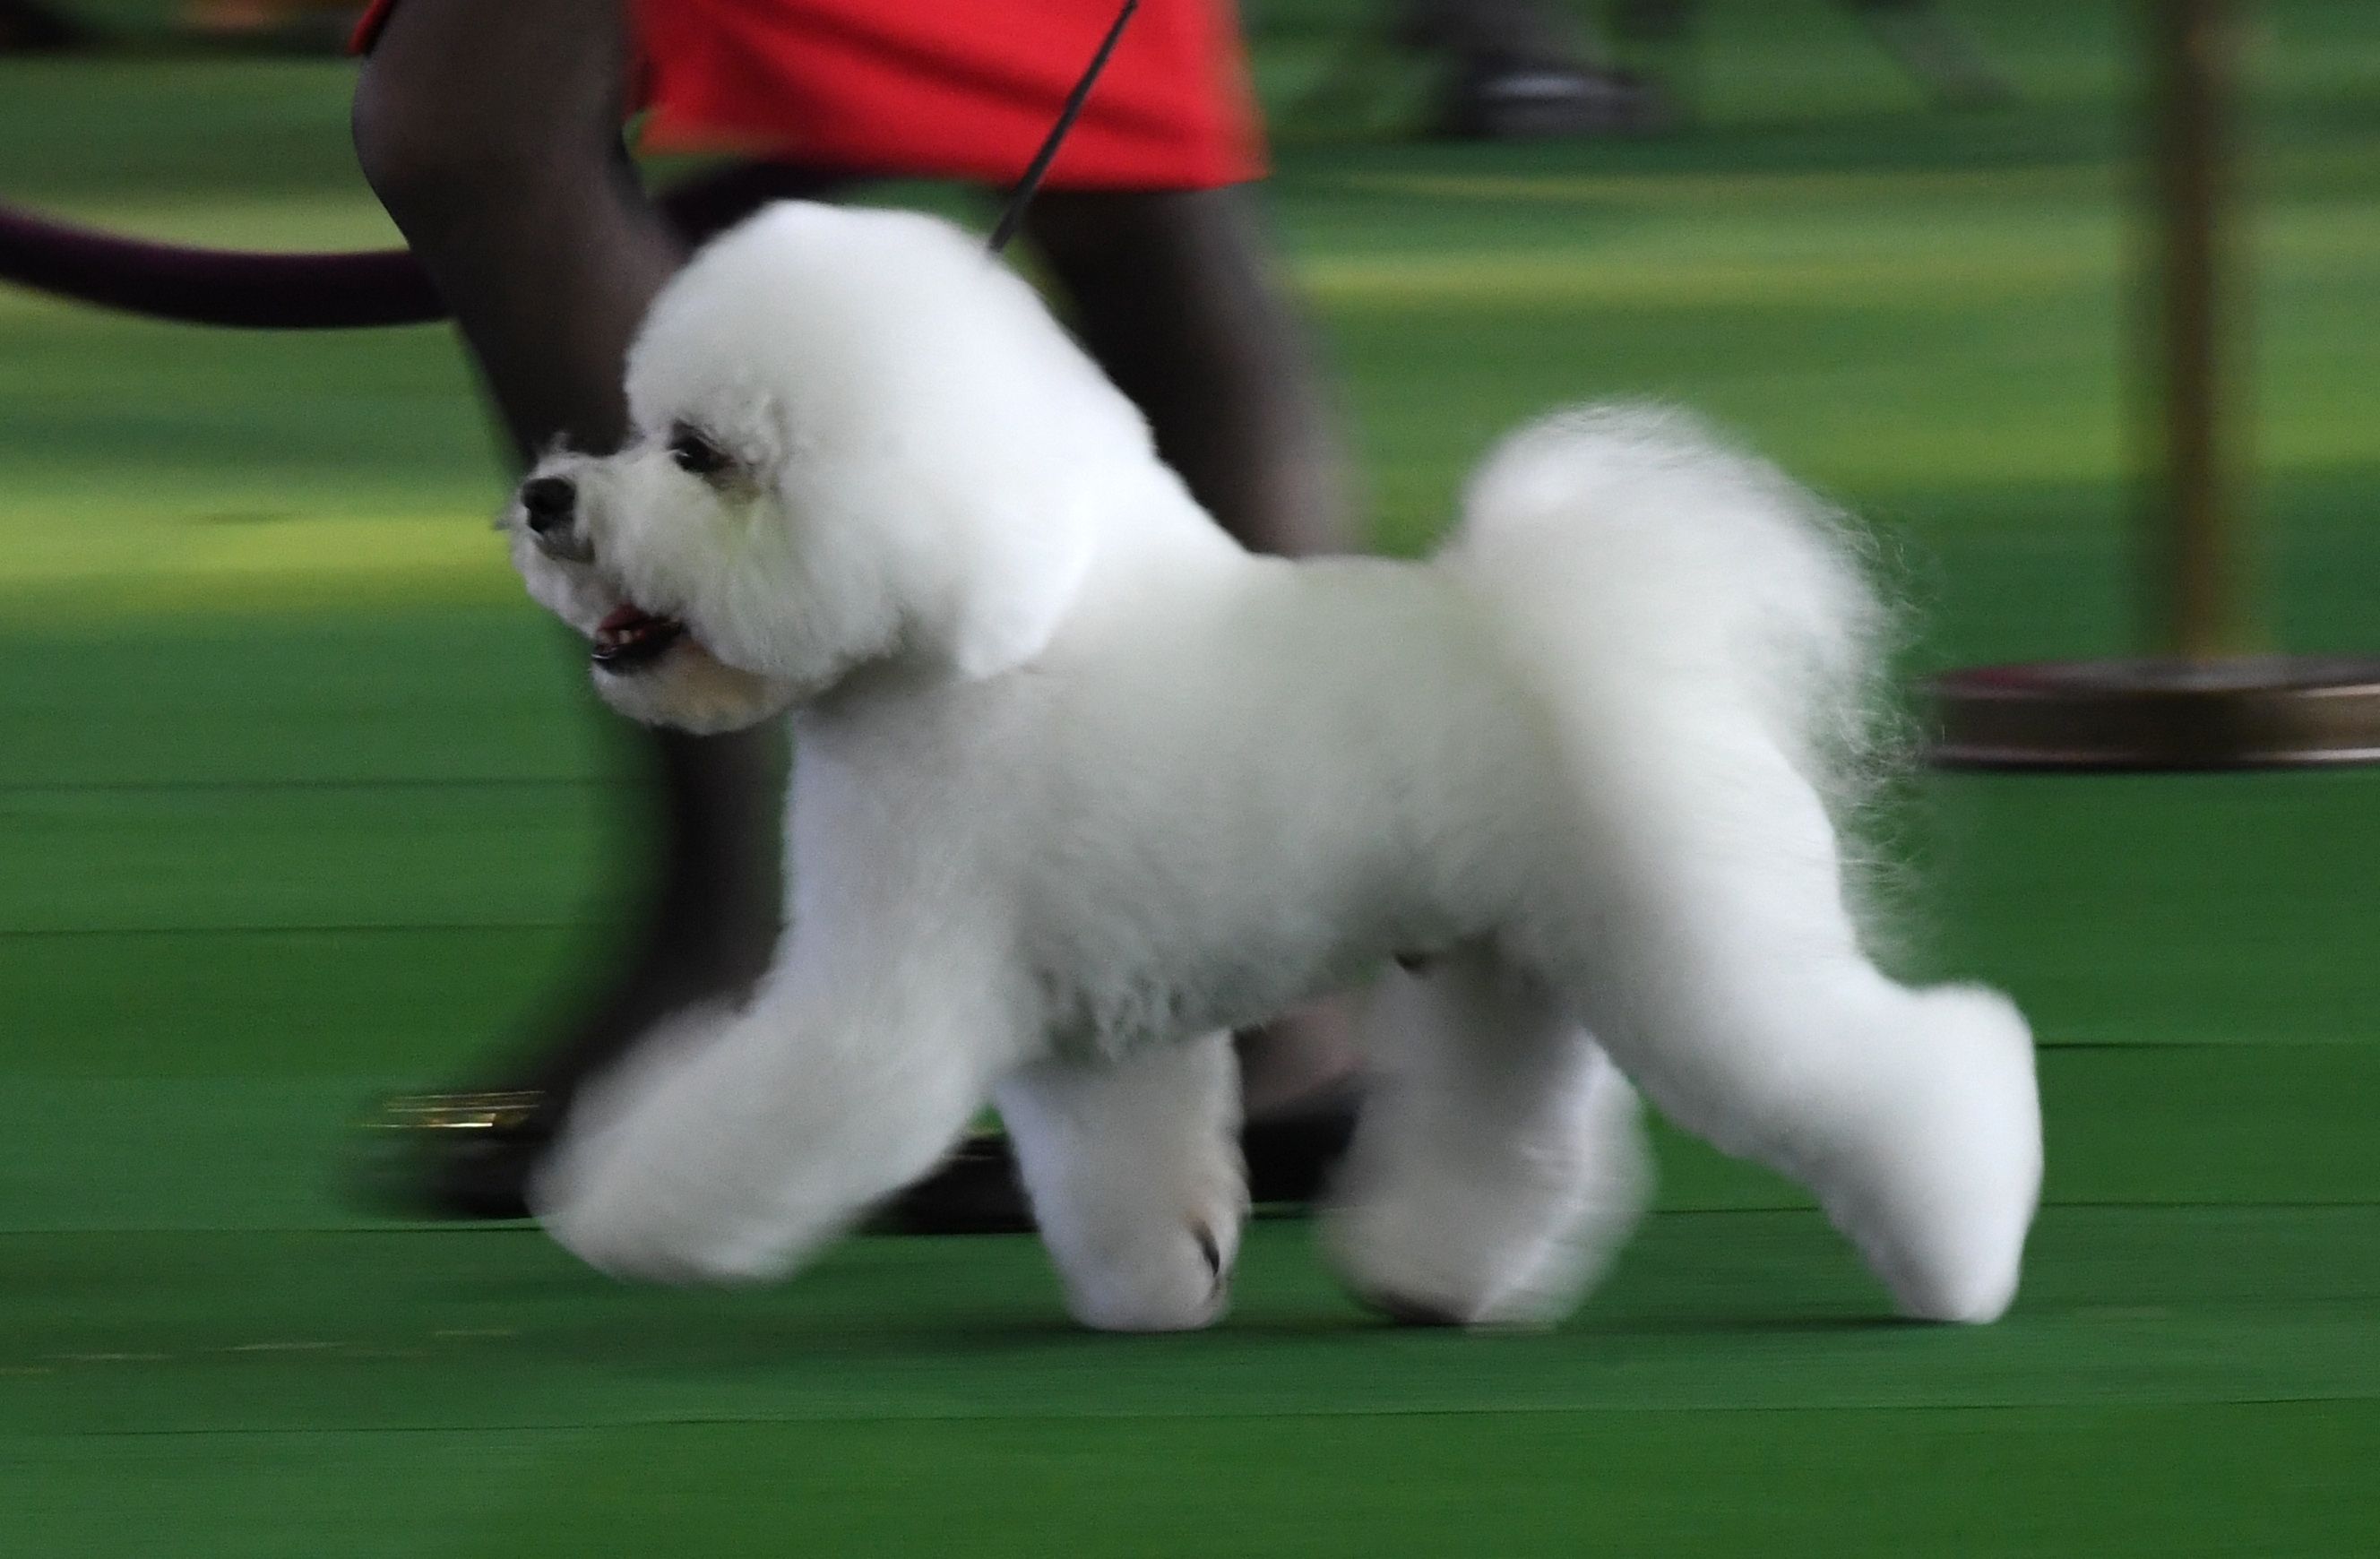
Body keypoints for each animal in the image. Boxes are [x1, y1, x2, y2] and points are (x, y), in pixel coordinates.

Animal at [506, 201, 2047, 1332]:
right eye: (637, 423)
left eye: (704, 454)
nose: (545, 496)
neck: (968, 649)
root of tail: (1621, 644)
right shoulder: (1084, 1031)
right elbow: (1120, 1170)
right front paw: (1160, 1286)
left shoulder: (886, 992)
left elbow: (776, 1111)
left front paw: (612, 1207)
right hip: (1506, 962)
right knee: (1512, 1130)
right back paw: (1428, 1279)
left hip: (1690, 946)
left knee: (1885, 1067)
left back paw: (1963, 1259)